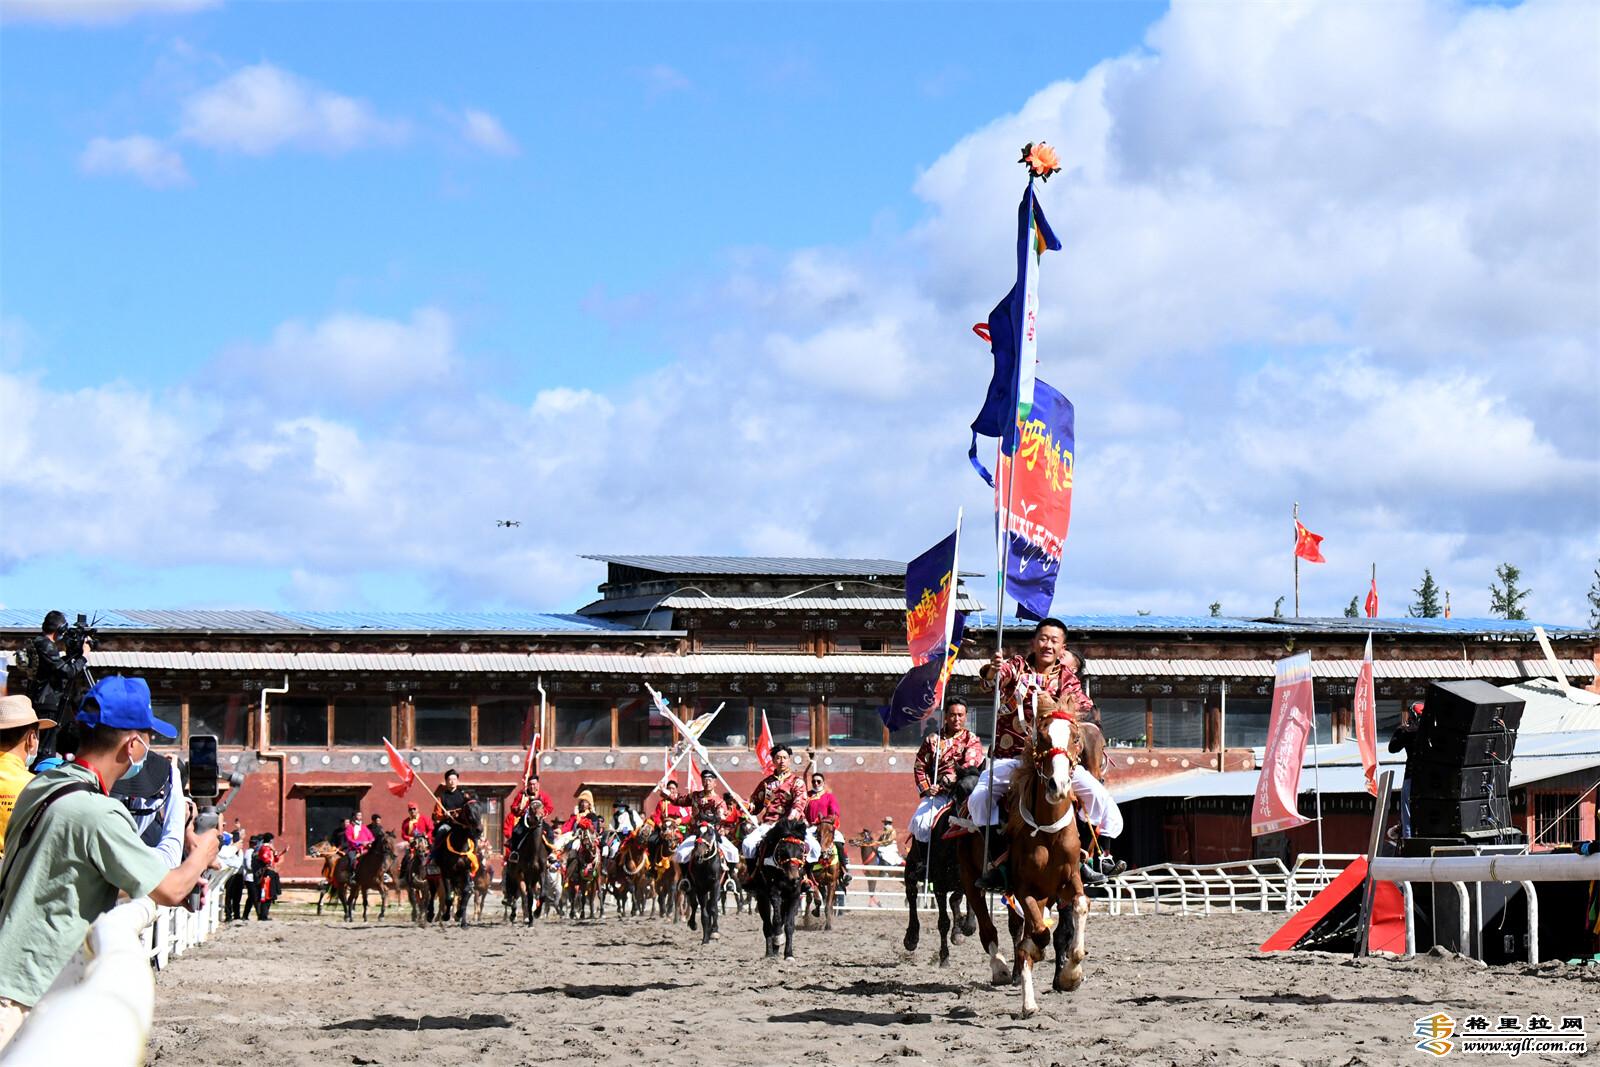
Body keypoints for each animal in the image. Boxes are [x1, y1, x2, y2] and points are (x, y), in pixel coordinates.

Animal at [752, 818, 809, 959]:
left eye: (801, 850)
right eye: (782, 850)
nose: (793, 878)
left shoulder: (794, 894)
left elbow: (789, 925)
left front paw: (789, 954)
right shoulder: (774, 892)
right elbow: (776, 920)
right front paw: (778, 939)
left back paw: (776, 950)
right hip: (762, 897)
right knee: (768, 925)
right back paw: (770, 952)